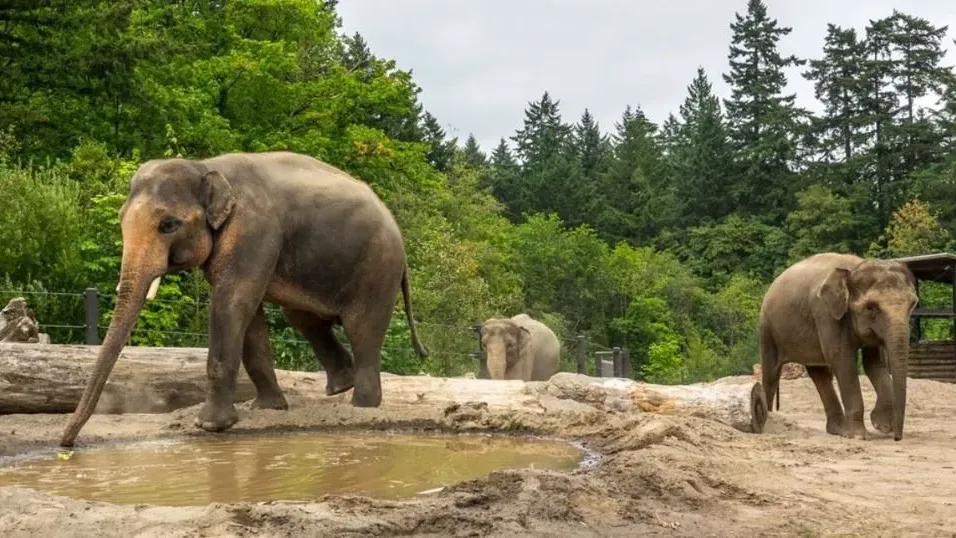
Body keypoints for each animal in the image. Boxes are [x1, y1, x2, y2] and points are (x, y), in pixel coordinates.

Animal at [59, 151, 429, 447]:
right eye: (121, 220)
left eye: (168, 225)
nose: (67, 443)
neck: (204, 166)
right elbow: (249, 316)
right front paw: (268, 409)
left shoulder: (253, 231)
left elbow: (232, 302)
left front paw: (210, 426)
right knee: (302, 317)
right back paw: (340, 387)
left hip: (377, 269)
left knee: (362, 328)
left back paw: (361, 406)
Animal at [758, 252, 918, 441]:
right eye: (871, 307)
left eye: (912, 304)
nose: (897, 437)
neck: (854, 267)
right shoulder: (826, 313)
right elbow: (842, 359)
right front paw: (859, 436)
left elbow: (874, 363)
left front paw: (881, 425)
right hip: (767, 329)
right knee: (771, 375)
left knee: (820, 374)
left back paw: (837, 430)